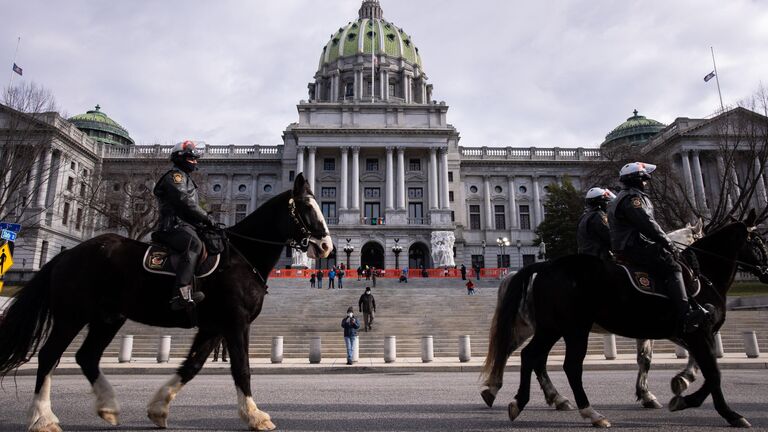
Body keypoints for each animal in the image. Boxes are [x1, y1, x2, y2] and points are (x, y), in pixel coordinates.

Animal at [0, 173, 332, 432]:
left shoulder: (212, 326)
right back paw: (43, 418)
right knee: (49, 355)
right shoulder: (235, 322)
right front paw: (255, 416)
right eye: (306, 207)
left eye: (322, 204)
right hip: (72, 314)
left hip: (108, 317)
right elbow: (242, 368)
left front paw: (158, 409)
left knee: (86, 356)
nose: (327, 246)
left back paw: (108, 407)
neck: (243, 255)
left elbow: (191, 365)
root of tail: (66, 253)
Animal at [480, 218, 760, 426]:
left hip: (549, 328)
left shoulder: (666, 329)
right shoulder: (692, 329)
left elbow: (651, 359)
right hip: (564, 328)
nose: (764, 270)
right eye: (756, 240)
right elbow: (707, 368)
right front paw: (685, 389)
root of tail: (543, 266)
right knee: (549, 361)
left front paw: (660, 390)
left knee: (528, 356)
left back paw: (530, 397)